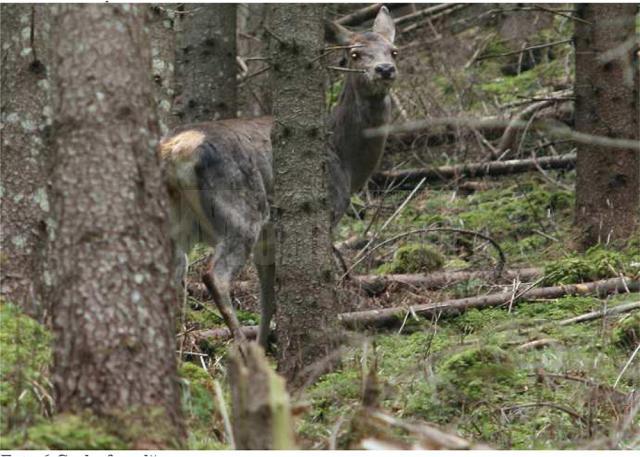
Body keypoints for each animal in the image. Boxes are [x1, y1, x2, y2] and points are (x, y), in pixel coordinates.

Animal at [160, 5, 398, 348]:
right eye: (353, 54)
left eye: (393, 50)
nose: (385, 69)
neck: (347, 161)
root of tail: (176, 149)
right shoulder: (327, 211)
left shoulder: (269, 237)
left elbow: (267, 297)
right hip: (241, 210)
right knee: (214, 275)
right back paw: (242, 349)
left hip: (178, 222)